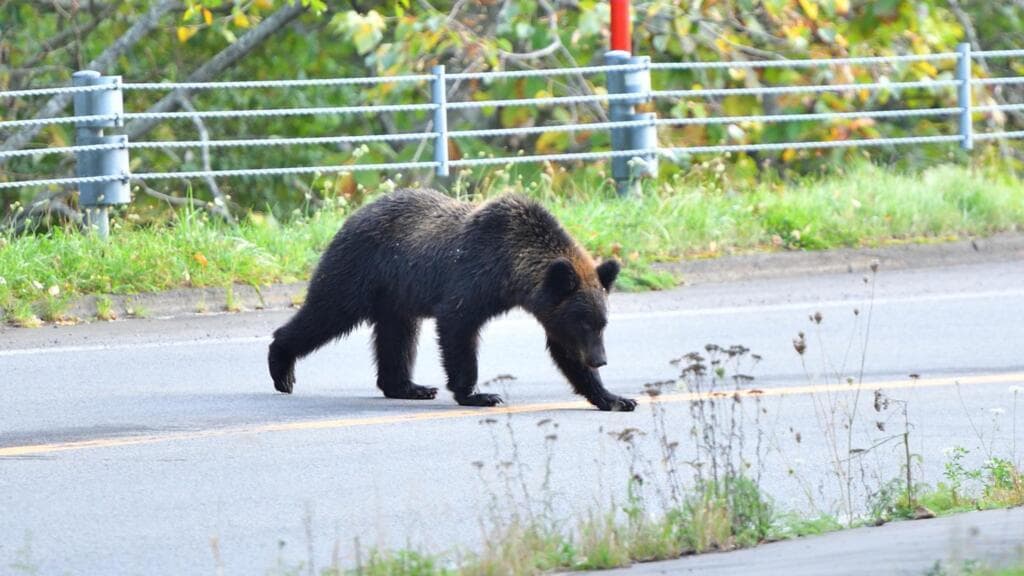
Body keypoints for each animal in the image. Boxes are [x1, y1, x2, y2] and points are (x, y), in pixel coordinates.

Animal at [268, 188, 636, 412]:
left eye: (602, 323)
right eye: (584, 322)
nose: (600, 360)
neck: (511, 271)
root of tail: (355, 214)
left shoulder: (548, 308)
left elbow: (563, 352)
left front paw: (614, 397)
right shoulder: (474, 277)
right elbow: (458, 328)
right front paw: (478, 394)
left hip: (395, 296)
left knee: (398, 336)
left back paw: (408, 386)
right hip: (360, 270)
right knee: (327, 313)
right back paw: (281, 367)